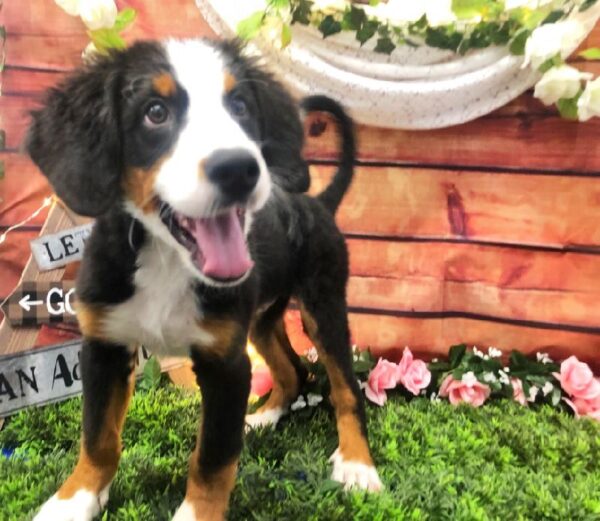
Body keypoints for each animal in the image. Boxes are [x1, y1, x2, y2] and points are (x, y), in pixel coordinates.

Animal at [27, 38, 380, 516]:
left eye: (241, 106)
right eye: (155, 112)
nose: (239, 169)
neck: (167, 260)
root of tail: (317, 201)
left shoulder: (225, 362)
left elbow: (212, 458)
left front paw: (197, 514)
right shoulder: (104, 345)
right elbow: (98, 438)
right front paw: (73, 501)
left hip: (321, 305)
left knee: (346, 388)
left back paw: (358, 465)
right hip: (259, 320)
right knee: (293, 372)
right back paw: (261, 419)